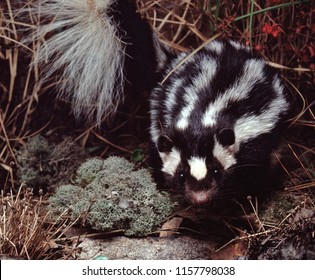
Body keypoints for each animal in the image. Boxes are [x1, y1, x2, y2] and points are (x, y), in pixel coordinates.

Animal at [21, 0, 292, 206]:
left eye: (217, 170)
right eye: (181, 175)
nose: (200, 198)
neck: (200, 114)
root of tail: (172, 63)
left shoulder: (254, 133)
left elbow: (254, 169)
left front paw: (246, 198)